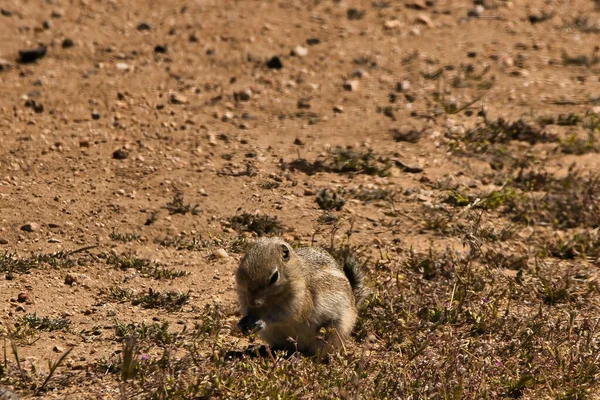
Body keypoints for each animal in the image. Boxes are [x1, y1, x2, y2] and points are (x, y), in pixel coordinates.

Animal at [233, 238, 366, 356]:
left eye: (274, 277)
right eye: (242, 272)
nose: (253, 302)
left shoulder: (298, 304)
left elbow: (280, 316)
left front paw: (262, 321)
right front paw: (242, 323)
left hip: (334, 331)